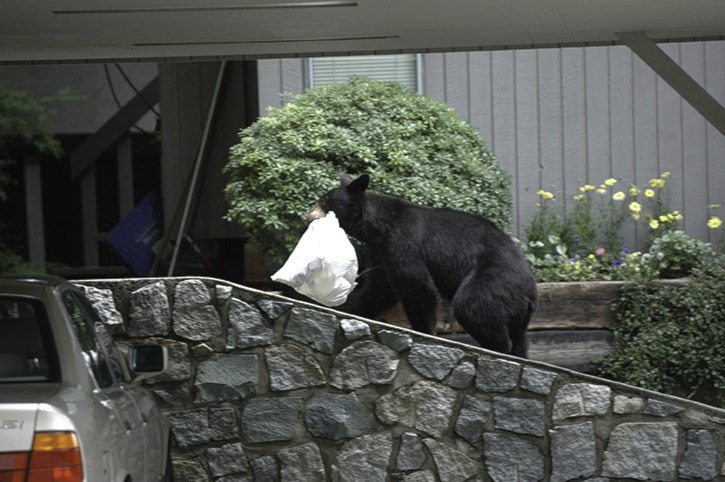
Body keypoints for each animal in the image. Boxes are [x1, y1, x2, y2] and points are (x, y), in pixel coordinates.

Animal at [302, 173, 536, 358]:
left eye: (324, 202)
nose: (306, 216)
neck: (377, 227)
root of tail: (530, 289)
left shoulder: (403, 242)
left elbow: (416, 285)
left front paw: (425, 332)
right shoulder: (380, 251)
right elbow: (380, 289)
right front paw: (359, 312)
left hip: (495, 276)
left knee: (473, 304)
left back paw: (497, 347)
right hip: (517, 308)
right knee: (519, 337)